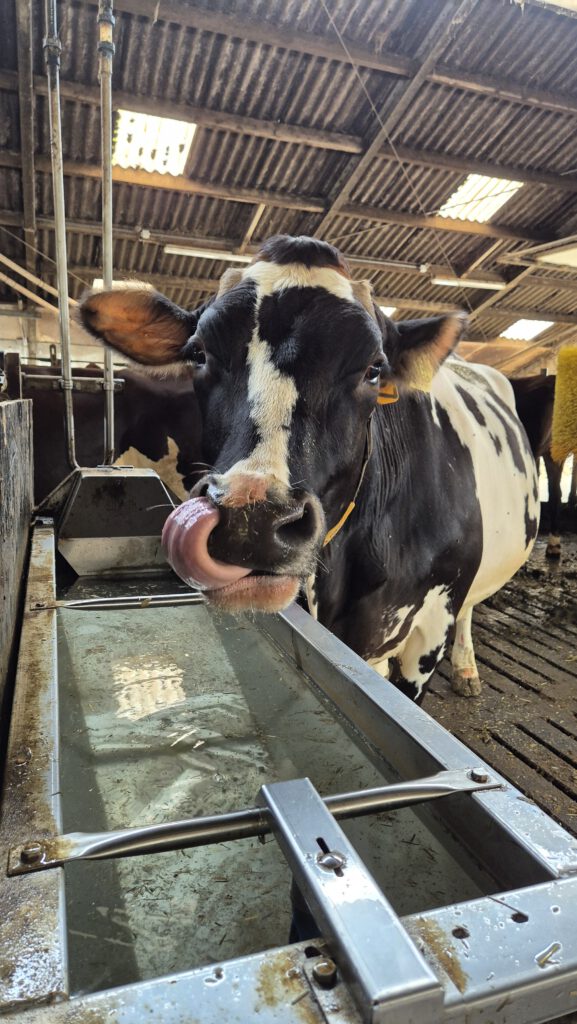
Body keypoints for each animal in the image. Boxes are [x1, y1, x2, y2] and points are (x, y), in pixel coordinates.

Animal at [79, 235, 539, 702]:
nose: (252, 521)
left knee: (469, 609)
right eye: (199, 353)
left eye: (374, 369)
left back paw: (466, 668)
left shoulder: (428, 633)